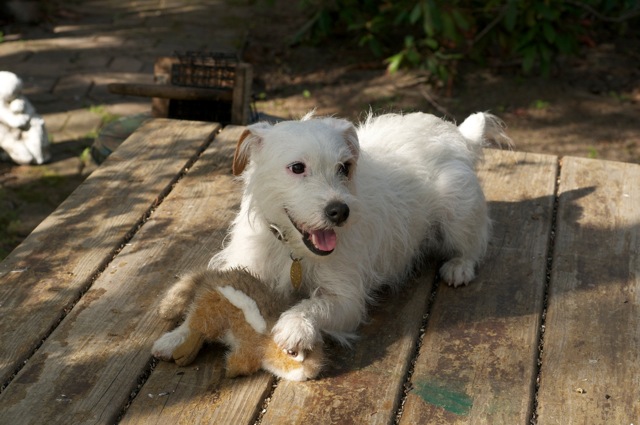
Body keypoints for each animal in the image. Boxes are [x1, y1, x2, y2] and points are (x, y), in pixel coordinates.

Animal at [158, 111, 508, 356]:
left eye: (344, 167)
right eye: (297, 168)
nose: (339, 211)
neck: (292, 250)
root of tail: (457, 133)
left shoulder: (346, 299)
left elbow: (313, 306)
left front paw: (294, 326)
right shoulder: (244, 265)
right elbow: (208, 290)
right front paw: (178, 333)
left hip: (457, 210)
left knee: (475, 242)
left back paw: (460, 266)